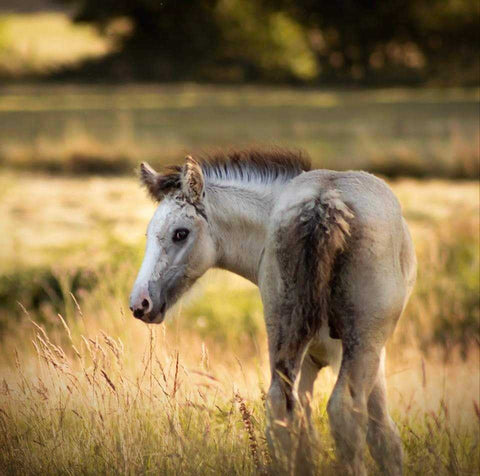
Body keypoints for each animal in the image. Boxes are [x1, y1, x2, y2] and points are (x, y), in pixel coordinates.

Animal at [130, 147, 416, 474]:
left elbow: (309, 432)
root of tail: (324, 201)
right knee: (344, 410)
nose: (140, 303)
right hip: (363, 342)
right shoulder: (358, 355)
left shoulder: (312, 357)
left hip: (290, 332)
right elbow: (384, 439)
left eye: (180, 233)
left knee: (281, 408)